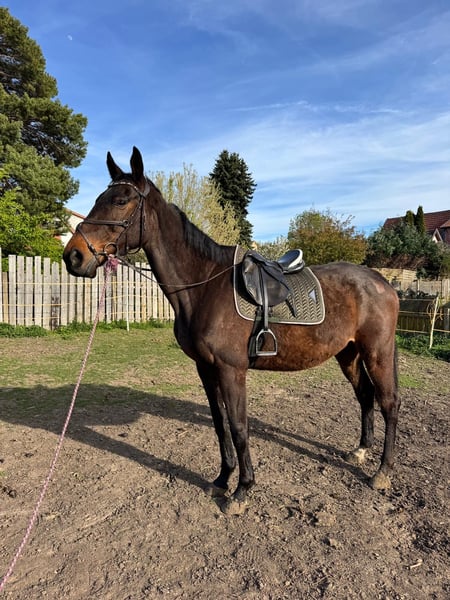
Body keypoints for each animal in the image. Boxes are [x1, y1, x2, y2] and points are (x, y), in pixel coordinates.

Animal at [63, 147, 400, 514]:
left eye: (121, 200)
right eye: (99, 198)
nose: (73, 256)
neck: (205, 286)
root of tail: (383, 282)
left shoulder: (231, 369)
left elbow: (239, 427)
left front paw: (242, 490)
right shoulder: (205, 368)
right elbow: (219, 423)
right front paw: (223, 479)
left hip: (377, 353)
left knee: (388, 402)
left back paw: (382, 472)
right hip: (348, 354)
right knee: (365, 395)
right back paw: (361, 451)